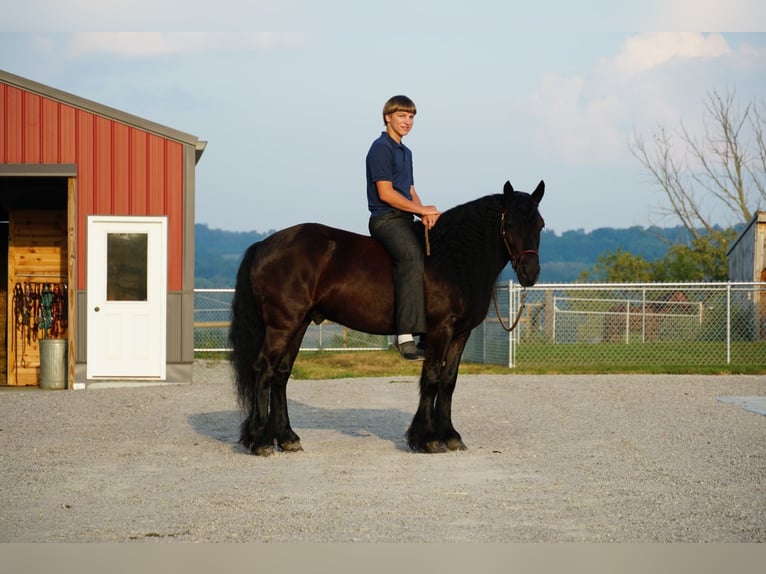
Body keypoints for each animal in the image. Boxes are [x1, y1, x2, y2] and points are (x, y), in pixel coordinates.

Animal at [229, 180, 545, 455]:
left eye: (540, 224)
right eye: (509, 224)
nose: (530, 272)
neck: (453, 258)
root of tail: (264, 245)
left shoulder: (460, 334)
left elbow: (448, 381)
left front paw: (450, 435)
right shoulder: (440, 331)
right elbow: (431, 378)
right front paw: (427, 438)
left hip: (298, 324)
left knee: (280, 375)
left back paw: (286, 438)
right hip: (281, 325)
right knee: (263, 371)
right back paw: (260, 441)